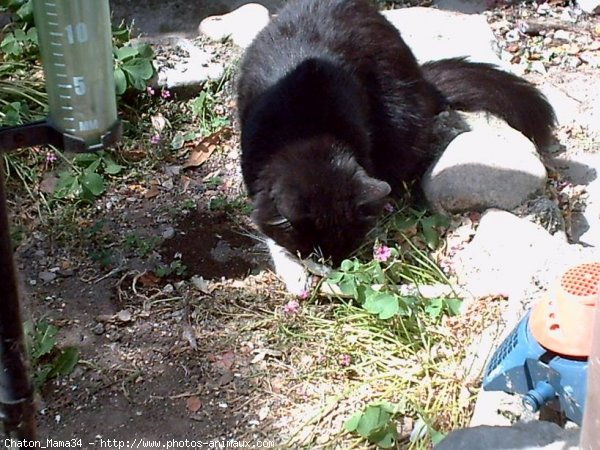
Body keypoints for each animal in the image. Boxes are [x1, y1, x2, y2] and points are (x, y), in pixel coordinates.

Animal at [237, 0, 556, 294]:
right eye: (314, 251)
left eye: (346, 249)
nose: (334, 268)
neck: (308, 131)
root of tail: (424, 82)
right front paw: (295, 273)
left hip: (401, 114)